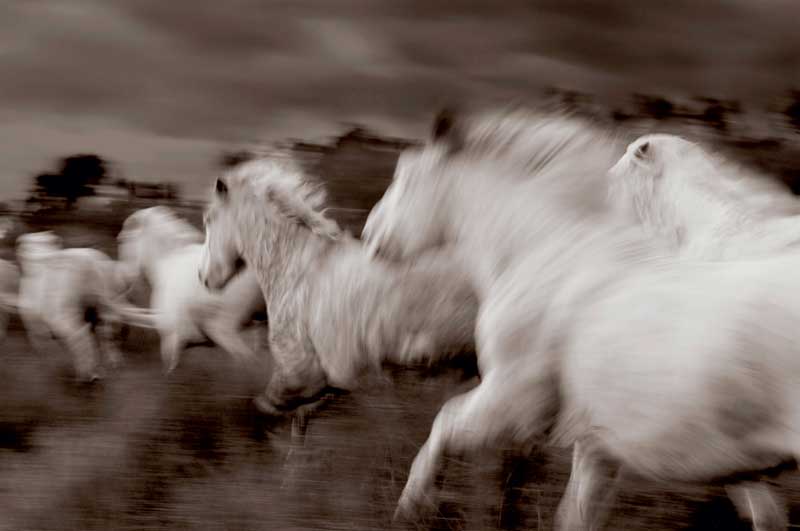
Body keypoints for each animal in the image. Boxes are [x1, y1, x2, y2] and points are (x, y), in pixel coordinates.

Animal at [17, 231, 159, 380]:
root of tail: (88, 264)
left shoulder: (33, 317)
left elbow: (42, 342)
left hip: (66, 311)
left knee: (80, 334)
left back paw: (87, 374)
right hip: (103, 304)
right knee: (106, 333)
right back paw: (110, 363)